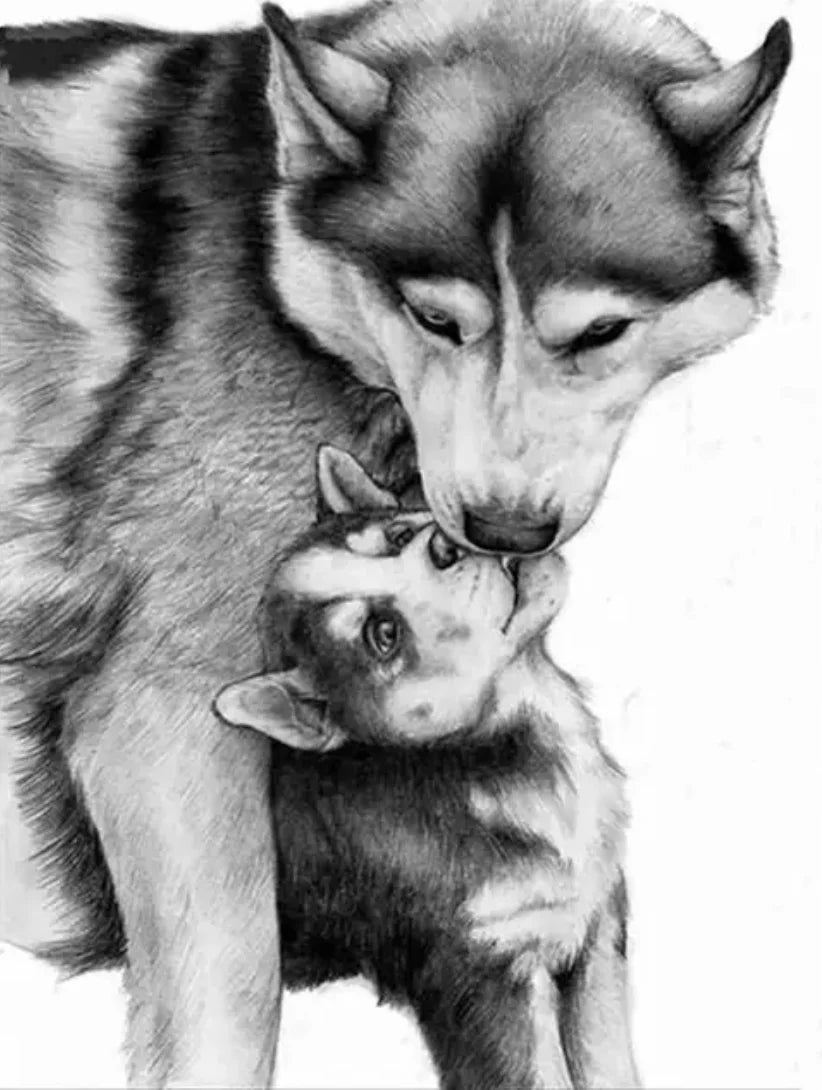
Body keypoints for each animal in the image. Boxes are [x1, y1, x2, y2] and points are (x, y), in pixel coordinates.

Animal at [0, 0, 791, 1085]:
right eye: (432, 317)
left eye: (600, 333)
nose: (500, 534)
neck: (276, 256)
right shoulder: (160, 719)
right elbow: (228, 1007)